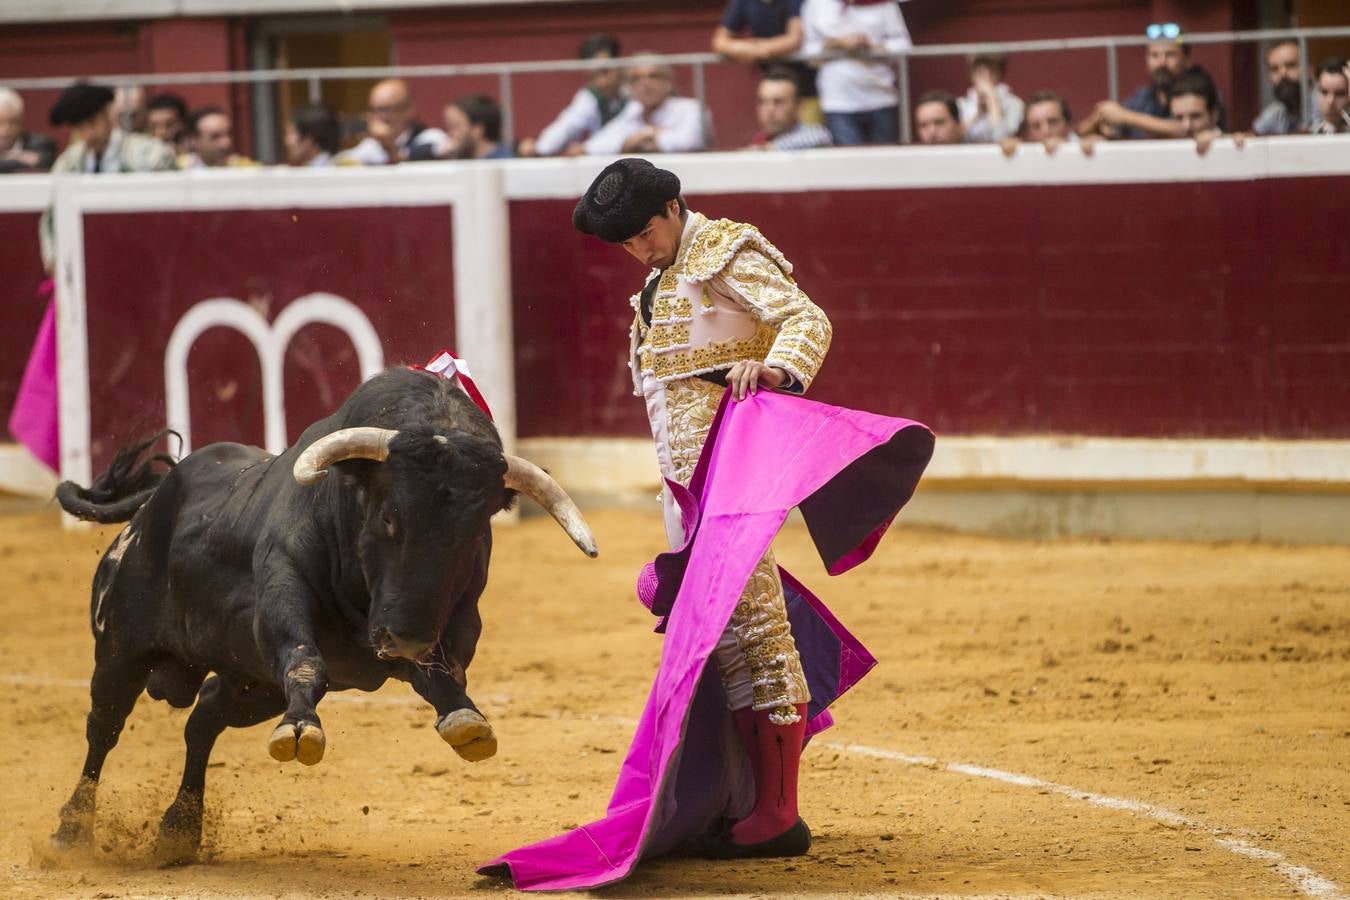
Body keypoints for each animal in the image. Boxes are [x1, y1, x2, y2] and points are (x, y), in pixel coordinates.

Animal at [54, 367, 591, 863]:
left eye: (475, 531)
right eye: (389, 515)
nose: (405, 639)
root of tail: (150, 507)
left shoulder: (456, 618)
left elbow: (443, 675)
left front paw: (465, 718)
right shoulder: (284, 589)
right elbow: (305, 660)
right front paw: (300, 730)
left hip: (252, 685)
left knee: (203, 719)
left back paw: (179, 832)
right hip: (120, 649)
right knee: (104, 728)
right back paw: (71, 833)